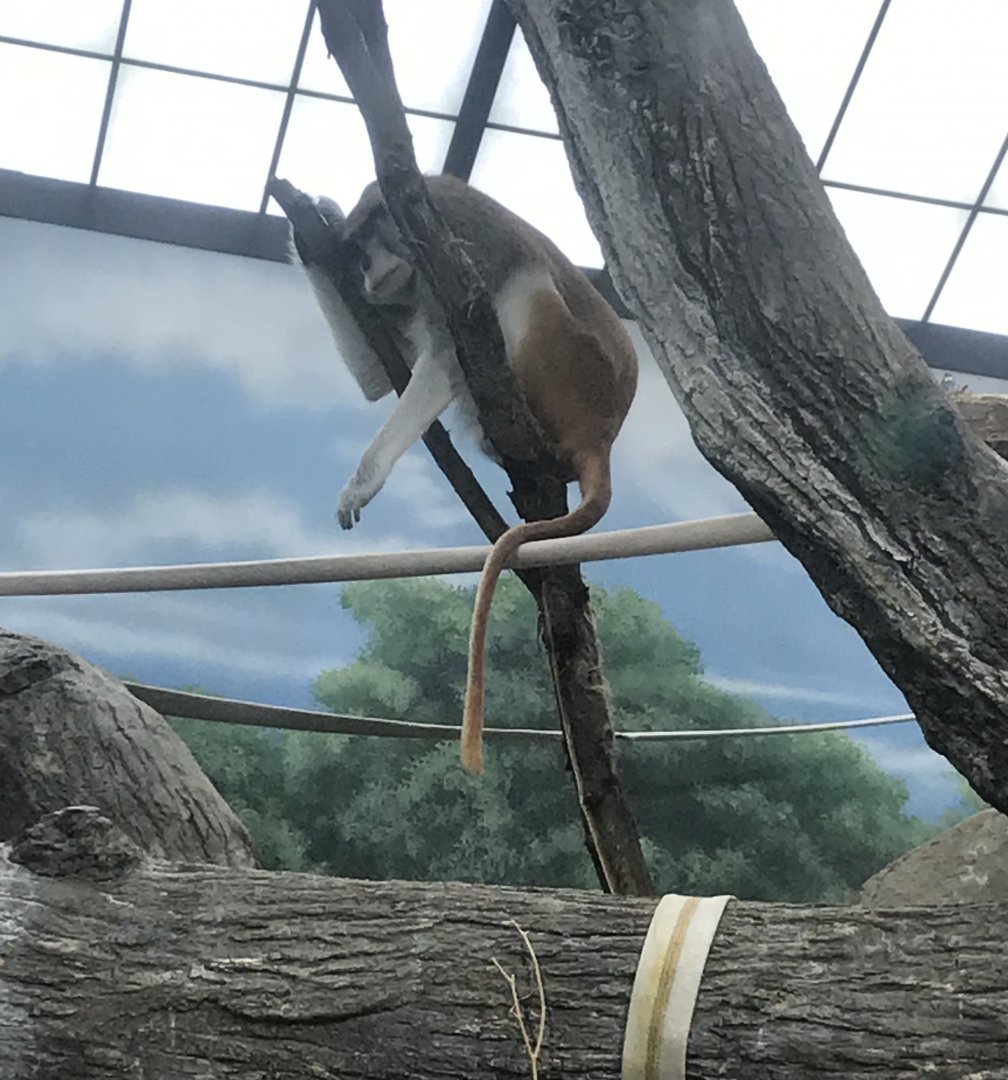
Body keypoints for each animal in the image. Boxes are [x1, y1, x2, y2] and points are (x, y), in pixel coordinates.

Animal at [298, 174, 637, 774]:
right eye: (356, 253)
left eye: (371, 245)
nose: (366, 270)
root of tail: (604, 434)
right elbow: (378, 379)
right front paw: (315, 221)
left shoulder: (456, 250)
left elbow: (442, 362)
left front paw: (362, 482)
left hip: (575, 371)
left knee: (526, 289)